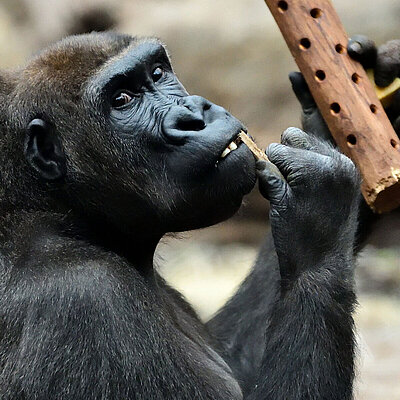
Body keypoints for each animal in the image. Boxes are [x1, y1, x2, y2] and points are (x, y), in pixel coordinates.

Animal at [0, 32, 398, 398]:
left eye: (158, 73)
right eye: (122, 100)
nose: (194, 114)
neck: (59, 211)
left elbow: (237, 358)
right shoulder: (85, 295)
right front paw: (319, 216)